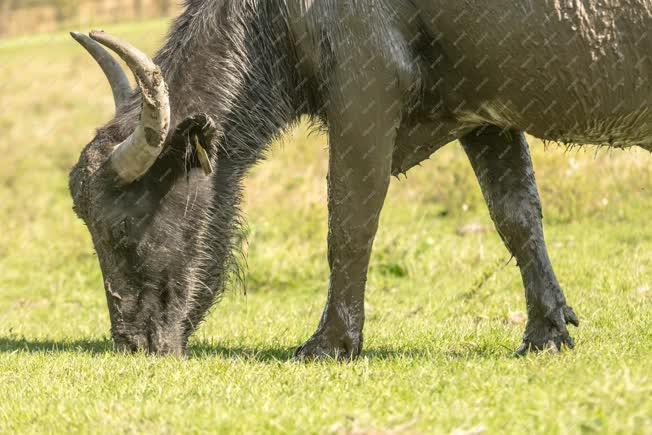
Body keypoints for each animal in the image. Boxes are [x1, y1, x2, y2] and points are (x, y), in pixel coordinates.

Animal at [69, 0, 648, 358]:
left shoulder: (363, 101)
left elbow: (348, 225)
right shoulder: (486, 117)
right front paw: (546, 331)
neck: (281, 16)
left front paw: (331, 342)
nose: (133, 343)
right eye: (89, 228)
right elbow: (518, 219)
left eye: (121, 228)